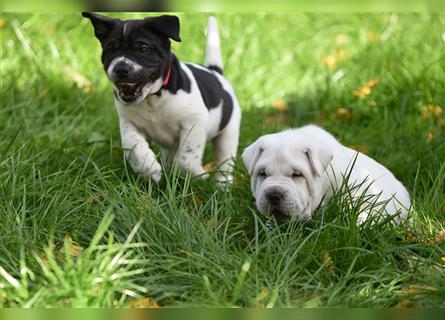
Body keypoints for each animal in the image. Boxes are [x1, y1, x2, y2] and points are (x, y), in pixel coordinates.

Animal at [84, 13, 243, 182]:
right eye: (111, 49)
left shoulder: (195, 122)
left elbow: (186, 158)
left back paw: (221, 184)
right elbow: (132, 144)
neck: (152, 98)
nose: (120, 68)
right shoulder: (129, 122)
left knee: (224, 162)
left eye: (143, 48)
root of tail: (215, 72)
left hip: (228, 133)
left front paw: (198, 175)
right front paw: (147, 168)